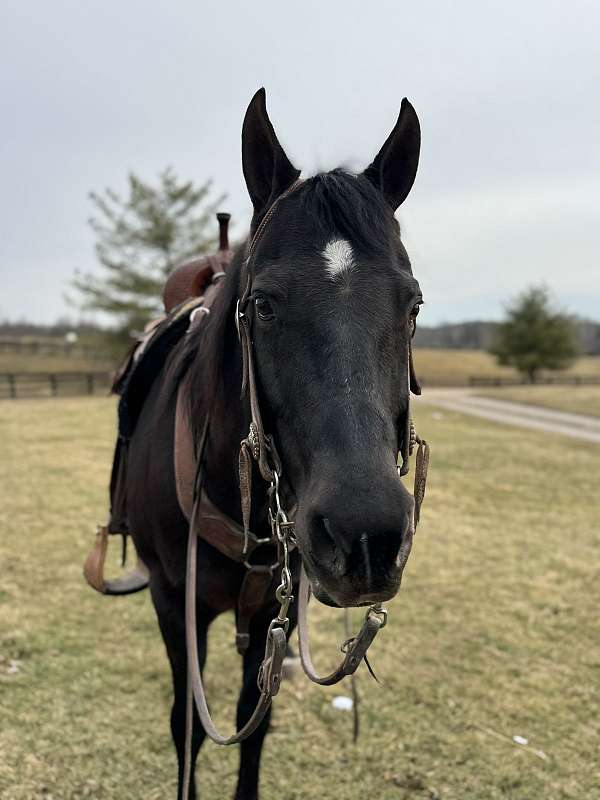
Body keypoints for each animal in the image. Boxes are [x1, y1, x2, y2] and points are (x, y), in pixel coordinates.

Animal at [125, 88, 423, 799]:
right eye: (262, 304)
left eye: (413, 306)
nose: (366, 536)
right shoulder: (173, 604)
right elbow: (187, 726)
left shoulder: (269, 612)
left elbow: (251, 722)